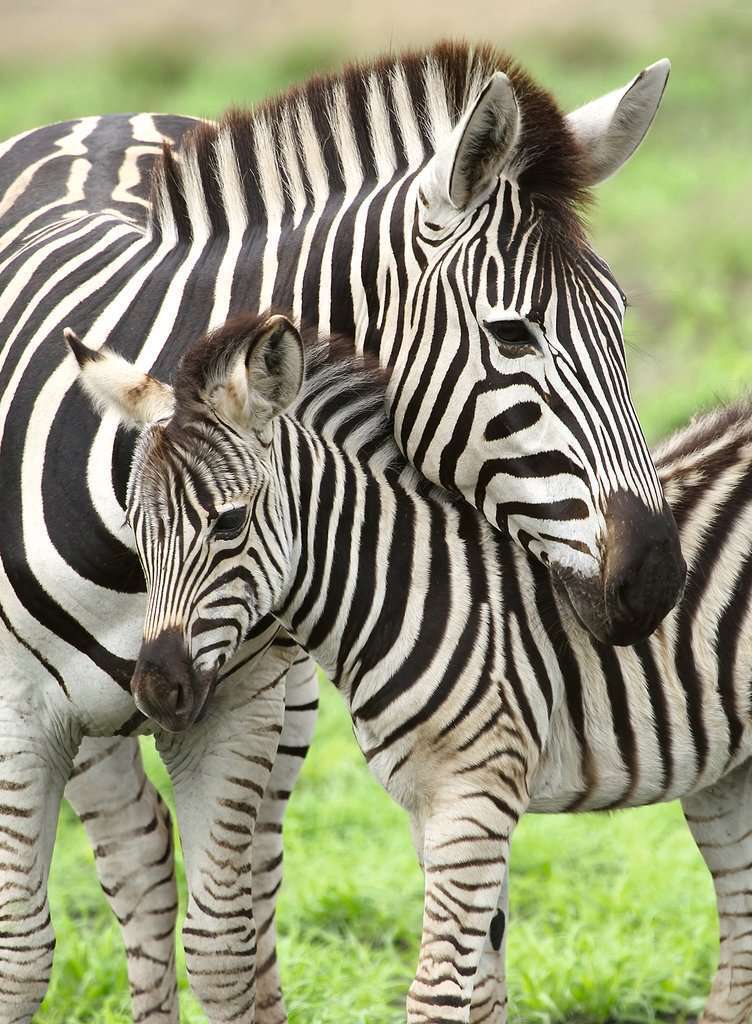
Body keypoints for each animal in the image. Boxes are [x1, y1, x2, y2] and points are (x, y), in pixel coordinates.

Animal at [0, 43, 682, 1020]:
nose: (656, 578)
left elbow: (223, 948)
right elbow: (20, 956)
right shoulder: (19, 717)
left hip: (280, 702)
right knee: (137, 862)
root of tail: (98, 117)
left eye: (623, 319)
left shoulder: (236, 707)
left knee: (211, 886)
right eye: (513, 334)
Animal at [76, 309, 752, 1024]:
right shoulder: (431, 807)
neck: (413, 590)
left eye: (229, 524)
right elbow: (482, 992)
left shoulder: (474, 799)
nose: (156, 689)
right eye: (134, 527)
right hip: (727, 776)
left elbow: (437, 993)